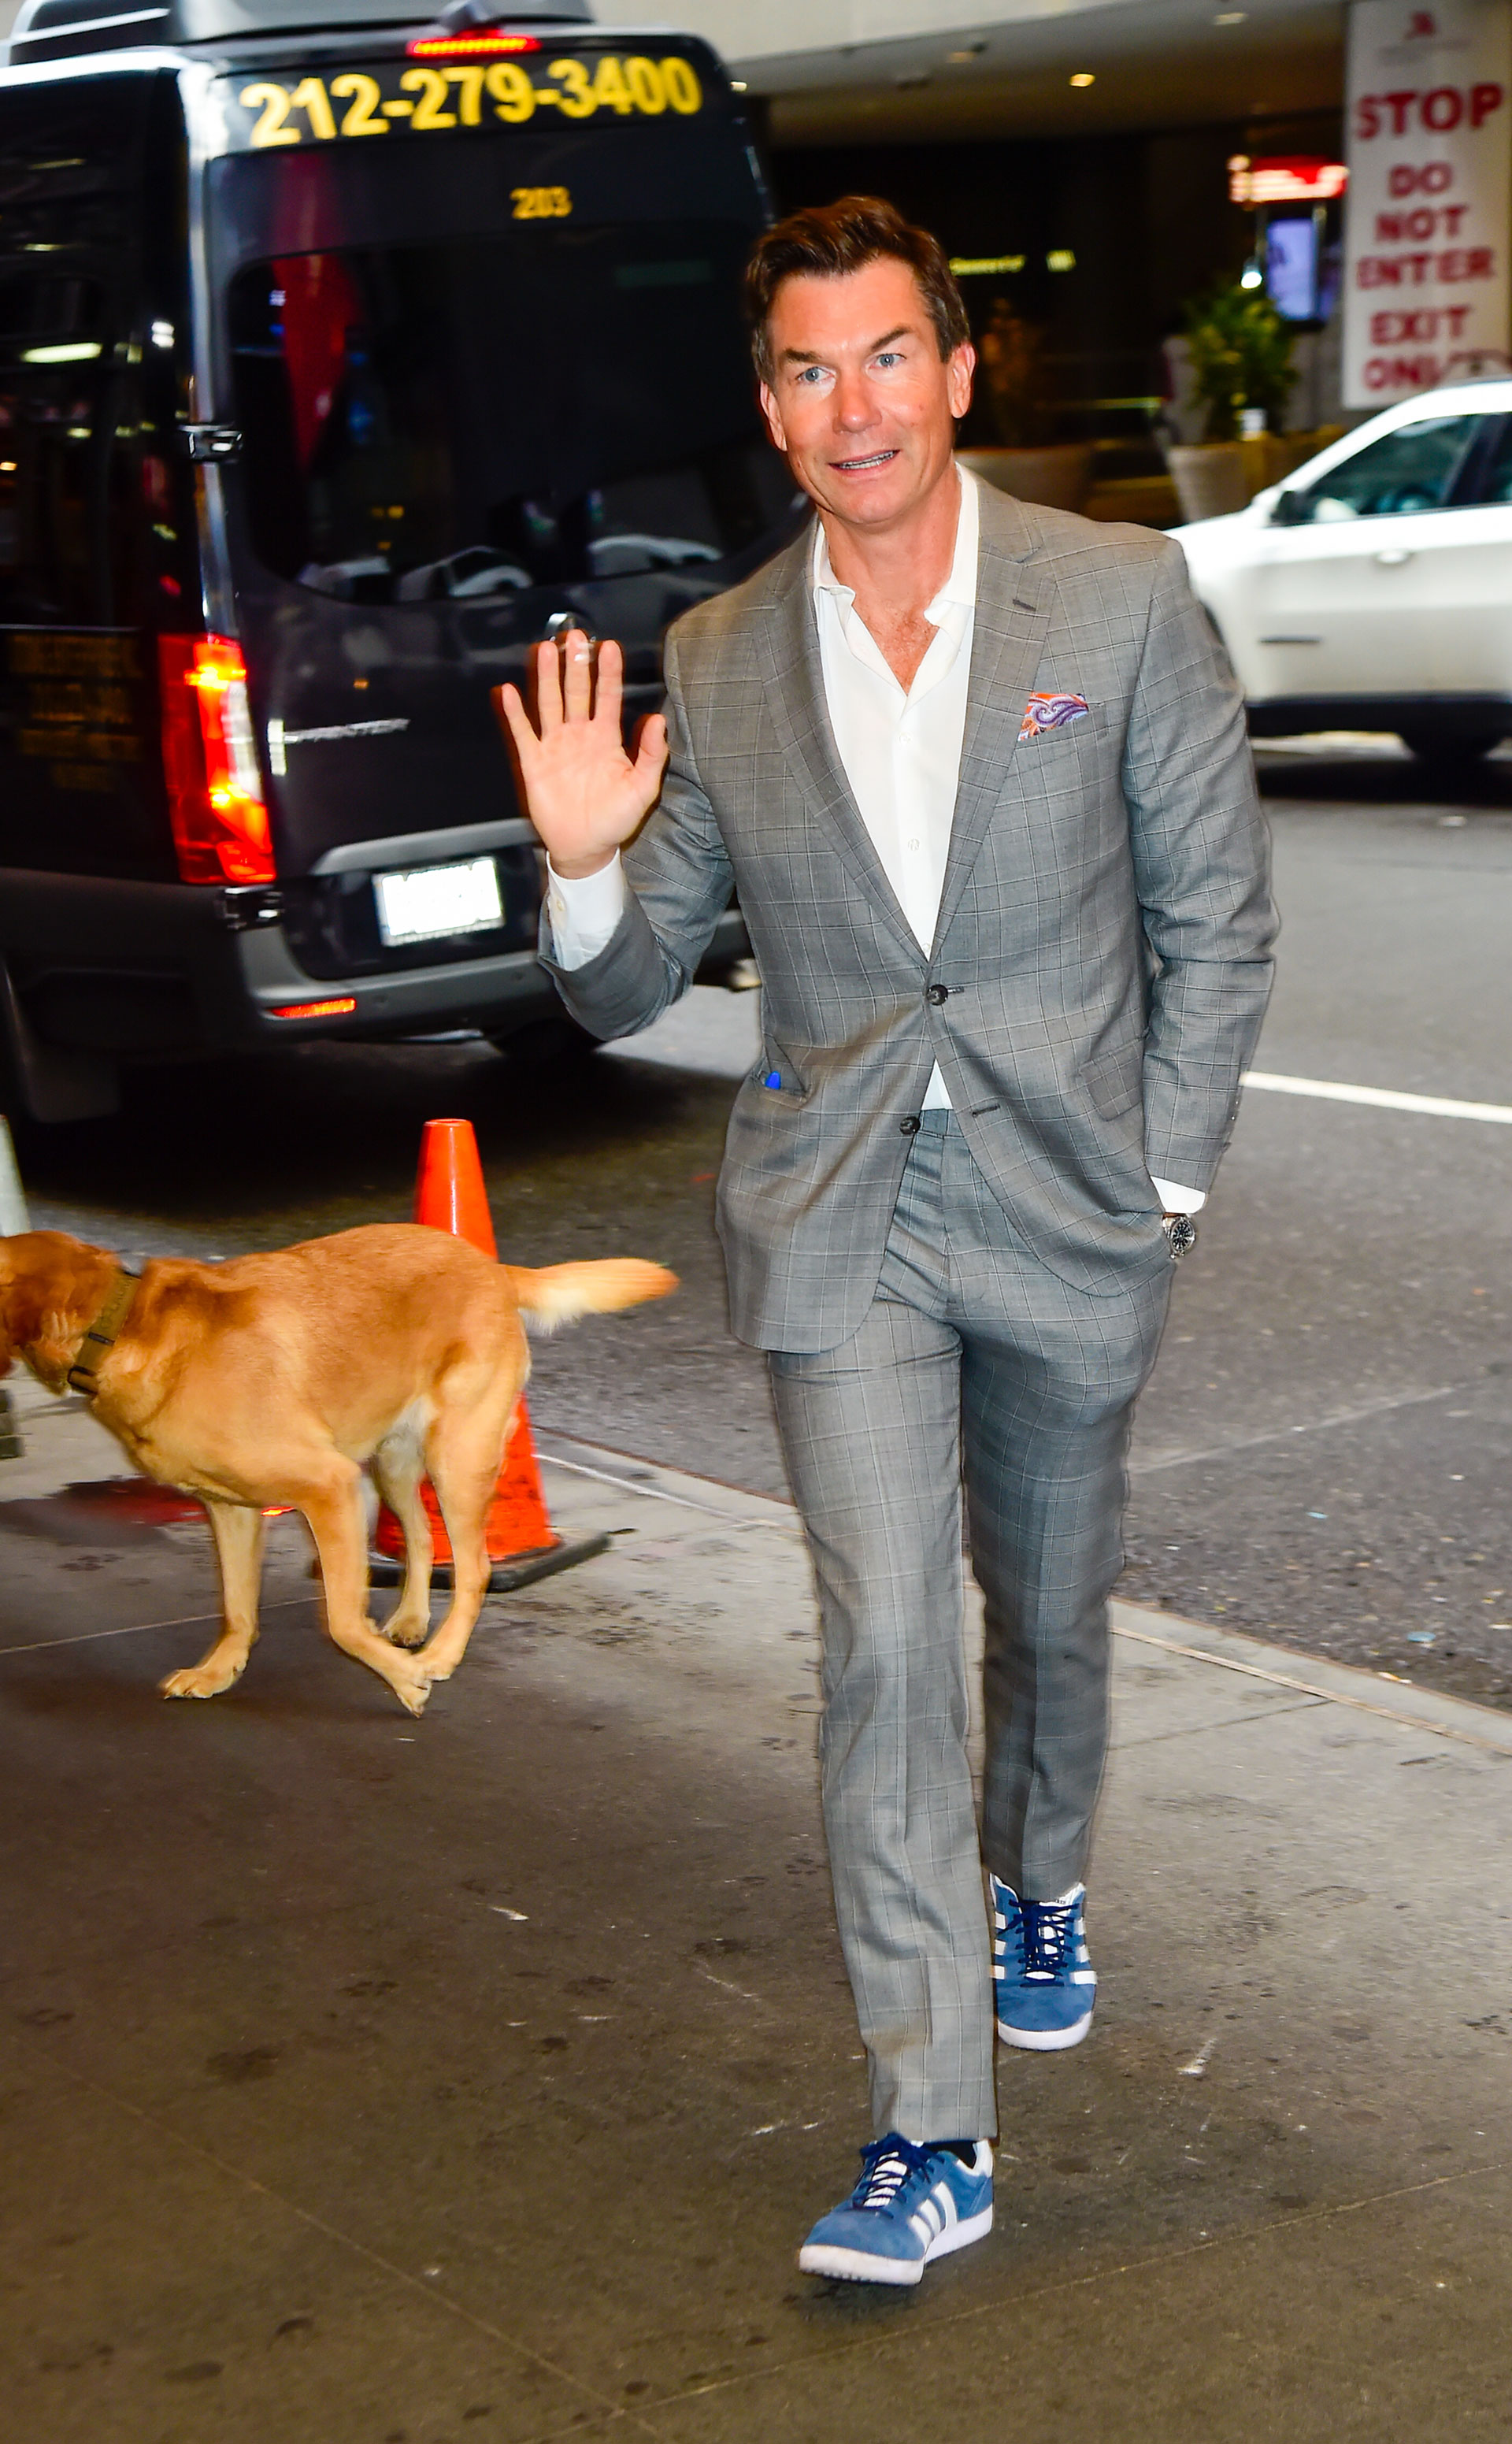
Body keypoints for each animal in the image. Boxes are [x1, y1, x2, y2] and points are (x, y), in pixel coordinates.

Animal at [0, 1222, 674, 1720]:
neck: (116, 1325)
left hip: (455, 1458)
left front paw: (407, 1682)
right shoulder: (231, 1509)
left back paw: (439, 1654)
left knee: (476, 1568)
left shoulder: (328, 1487)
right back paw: (410, 1621)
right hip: (395, 1463)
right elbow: (237, 1606)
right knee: (422, 1538)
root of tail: (488, 1264)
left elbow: (343, 1622)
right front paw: (220, 1669)